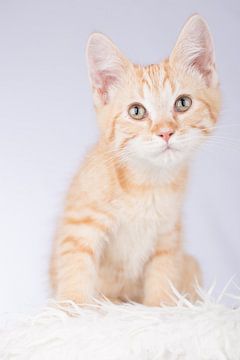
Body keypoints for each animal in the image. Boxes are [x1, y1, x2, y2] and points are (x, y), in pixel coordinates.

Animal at [49, 14, 220, 306]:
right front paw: (72, 307)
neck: (146, 184)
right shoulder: (80, 223)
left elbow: (163, 271)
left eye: (183, 103)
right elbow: (75, 266)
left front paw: (160, 306)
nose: (165, 132)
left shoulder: (168, 234)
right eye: (136, 111)